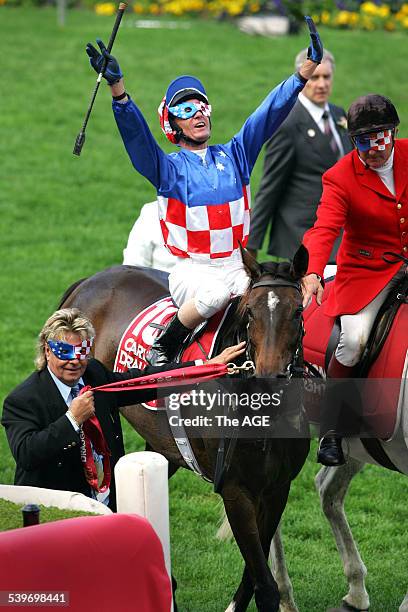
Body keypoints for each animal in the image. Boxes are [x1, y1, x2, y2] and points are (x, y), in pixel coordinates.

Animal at [60, 246, 310, 608]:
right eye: (250, 312)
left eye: (298, 311)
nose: (269, 378)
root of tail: (91, 278)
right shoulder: (234, 489)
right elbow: (265, 586)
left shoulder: (277, 488)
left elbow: (254, 575)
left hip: (163, 447)